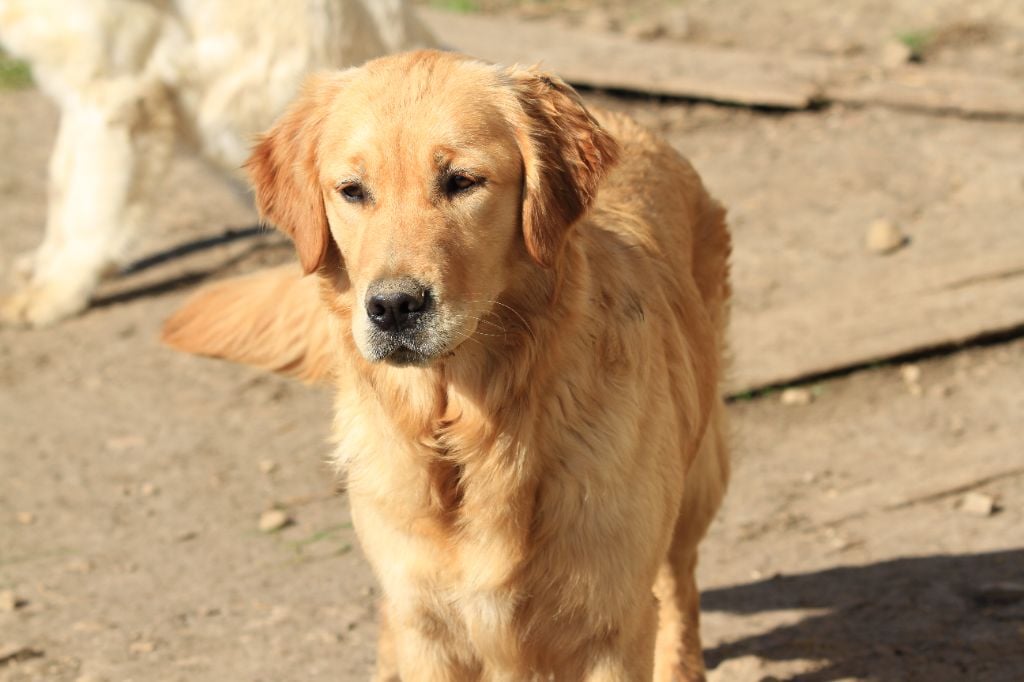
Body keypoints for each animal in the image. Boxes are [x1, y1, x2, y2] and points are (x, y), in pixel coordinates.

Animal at [163, 50, 733, 675]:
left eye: (462, 182)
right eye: (352, 190)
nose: (393, 307)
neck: (466, 427)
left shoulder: (611, 622)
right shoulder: (427, 620)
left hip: (696, 484)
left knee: (680, 583)